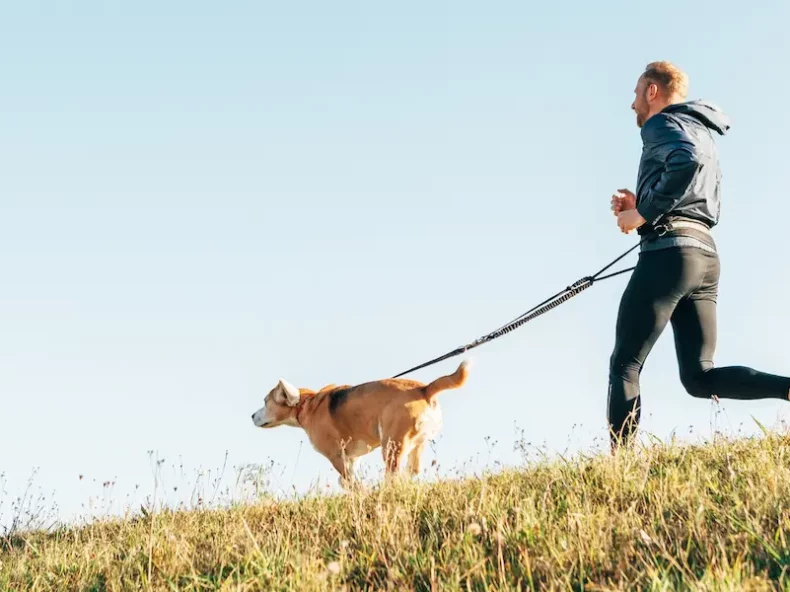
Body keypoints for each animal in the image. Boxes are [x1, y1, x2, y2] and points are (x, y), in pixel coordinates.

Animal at [251, 360, 470, 486]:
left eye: (265, 401)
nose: (252, 416)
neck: (307, 403)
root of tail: (424, 389)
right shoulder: (353, 458)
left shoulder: (337, 456)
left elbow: (350, 482)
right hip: (416, 444)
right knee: (412, 471)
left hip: (392, 446)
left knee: (393, 475)